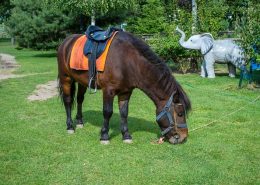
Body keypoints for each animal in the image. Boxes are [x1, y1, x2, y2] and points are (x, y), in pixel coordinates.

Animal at [57, 31, 191, 145]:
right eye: (180, 114)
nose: (183, 137)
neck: (128, 61)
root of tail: (66, 41)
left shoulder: (126, 92)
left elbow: (124, 112)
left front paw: (126, 135)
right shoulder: (108, 91)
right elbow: (107, 112)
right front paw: (104, 136)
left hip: (82, 81)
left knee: (80, 99)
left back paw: (79, 122)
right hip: (66, 78)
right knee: (68, 101)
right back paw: (70, 126)